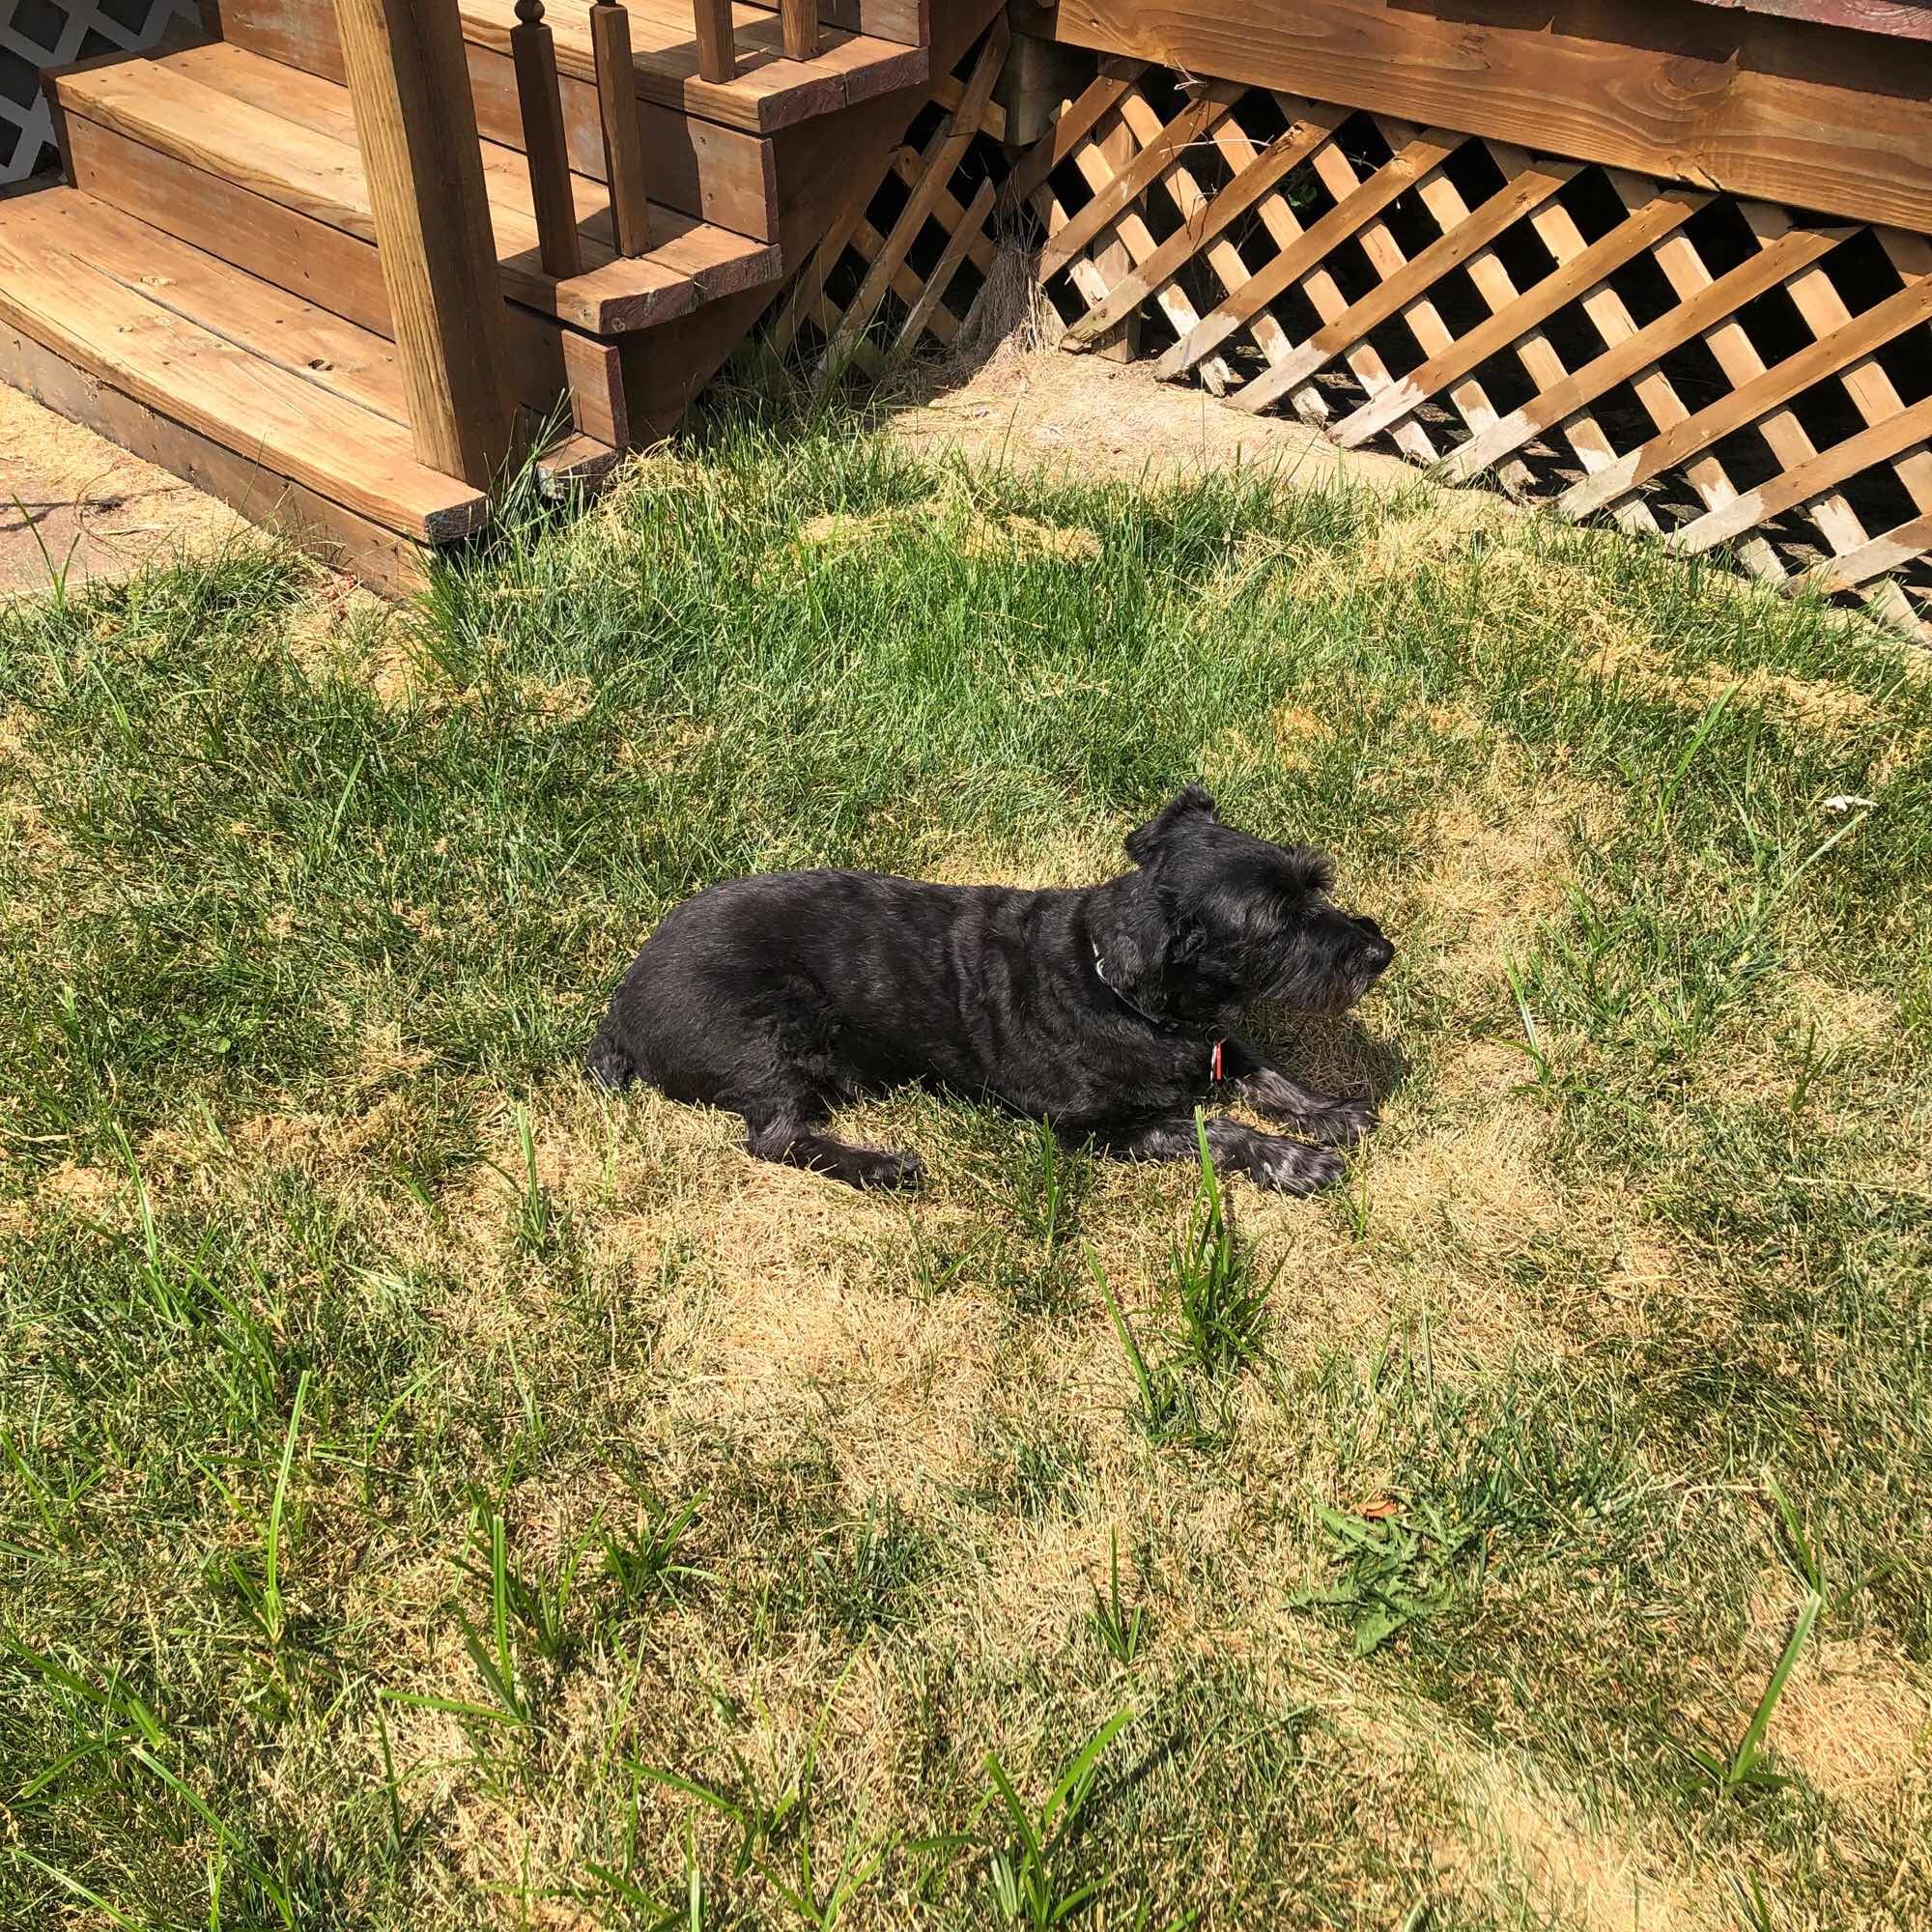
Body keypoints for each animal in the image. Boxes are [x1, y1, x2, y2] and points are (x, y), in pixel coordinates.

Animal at [587, 788, 1391, 1190]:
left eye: (1313, 883)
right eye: (1278, 924)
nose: (1381, 952)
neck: (1114, 983)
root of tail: (620, 1010)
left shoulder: (1216, 1042)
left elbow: (1267, 1074)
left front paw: (1330, 1111)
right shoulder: (1094, 1130)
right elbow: (1216, 1127)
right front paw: (1292, 1161)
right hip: (773, 1030)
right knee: (774, 1139)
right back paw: (878, 1166)